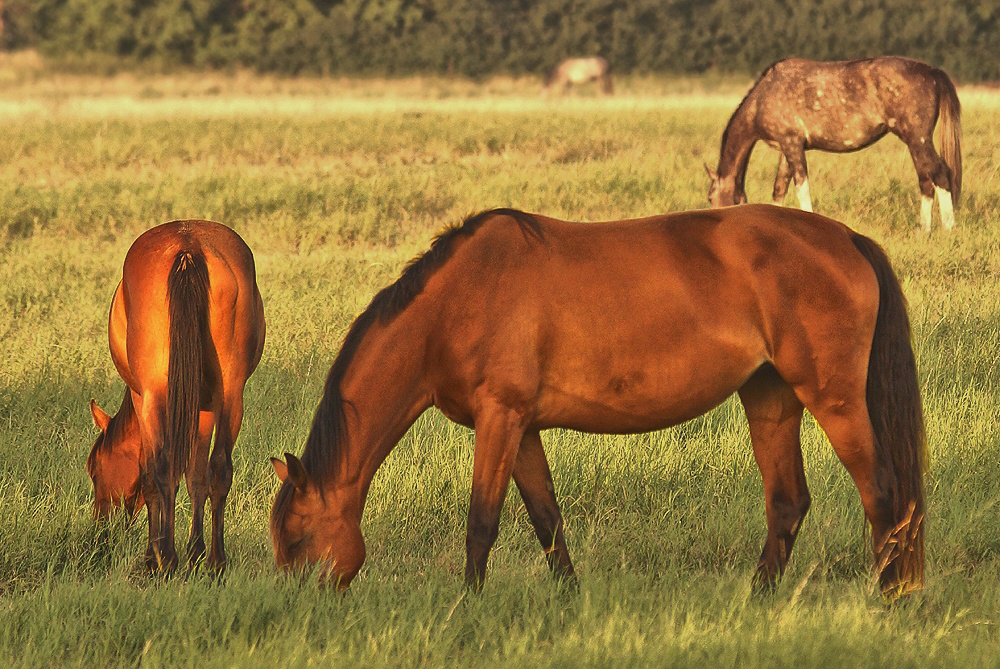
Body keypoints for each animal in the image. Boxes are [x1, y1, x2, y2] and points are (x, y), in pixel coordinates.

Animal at [87, 220, 266, 576]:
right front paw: (195, 553)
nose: (101, 530)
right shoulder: (205, 407)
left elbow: (150, 475)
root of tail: (188, 247)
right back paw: (215, 562)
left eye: (95, 469)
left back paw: (166, 559)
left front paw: (152, 557)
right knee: (219, 469)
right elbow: (197, 475)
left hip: (154, 395)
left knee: (162, 469)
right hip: (231, 394)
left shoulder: (141, 397)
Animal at [270, 205, 924, 596]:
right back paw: (759, 599)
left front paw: (468, 605)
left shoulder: (499, 418)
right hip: (769, 397)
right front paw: (568, 600)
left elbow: (482, 522)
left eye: (296, 539)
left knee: (883, 493)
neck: (456, 301)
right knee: (788, 502)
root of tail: (847, 238)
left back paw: (887, 598)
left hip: (833, 399)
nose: (297, 610)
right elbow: (546, 518)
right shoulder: (522, 428)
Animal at [704, 58, 960, 235]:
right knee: (926, 180)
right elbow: (779, 189)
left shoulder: (792, 145)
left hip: (918, 139)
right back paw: (924, 230)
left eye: (709, 197)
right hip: (915, 142)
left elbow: (801, 188)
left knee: (940, 174)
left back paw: (948, 228)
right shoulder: (787, 149)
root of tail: (932, 72)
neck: (764, 96)